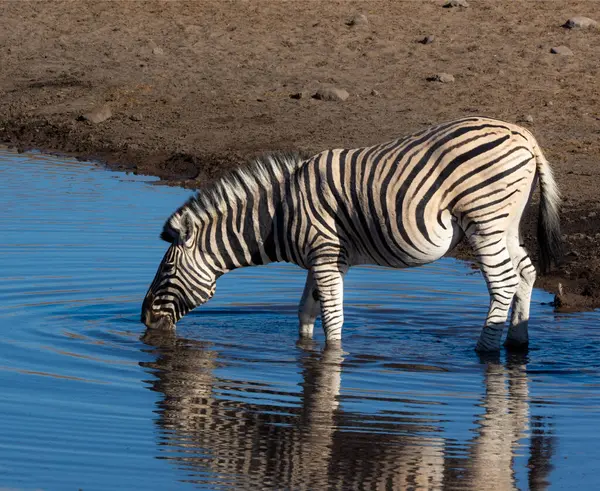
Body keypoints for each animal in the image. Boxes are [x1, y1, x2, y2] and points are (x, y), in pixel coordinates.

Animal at [141, 117, 564, 352]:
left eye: (166, 272)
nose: (144, 319)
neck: (279, 215)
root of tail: (524, 136)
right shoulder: (324, 258)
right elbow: (306, 310)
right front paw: (304, 350)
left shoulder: (326, 254)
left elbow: (333, 316)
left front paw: (333, 359)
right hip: (507, 223)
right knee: (525, 272)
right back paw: (517, 343)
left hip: (485, 219)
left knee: (503, 281)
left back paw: (484, 351)